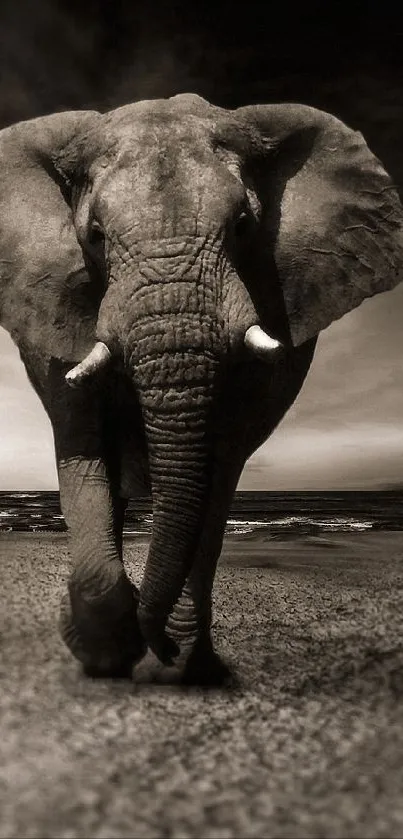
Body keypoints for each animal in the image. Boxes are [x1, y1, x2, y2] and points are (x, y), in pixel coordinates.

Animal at [0, 93, 403, 684]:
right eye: (94, 236)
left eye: (243, 225)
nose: (161, 647)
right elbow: (82, 445)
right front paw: (106, 655)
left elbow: (220, 464)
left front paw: (177, 661)